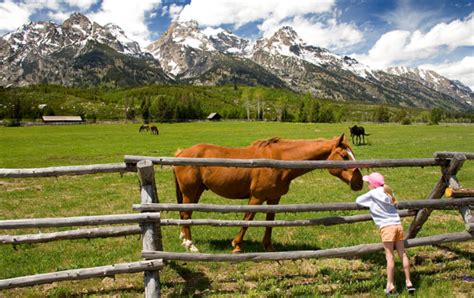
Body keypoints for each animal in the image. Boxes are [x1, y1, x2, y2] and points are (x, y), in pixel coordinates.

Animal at [174, 135, 362, 254]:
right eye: (344, 156)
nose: (359, 183)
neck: (280, 161)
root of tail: (181, 152)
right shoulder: (256, 198)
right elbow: (247, 220)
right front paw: (237, 245)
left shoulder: (274, 199)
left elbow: (270, 223)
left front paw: (269, 247)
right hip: (190, 192)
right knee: (186, 215)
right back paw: (190, 245)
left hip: (196, 192)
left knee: (185, 214)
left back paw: (184, 239)